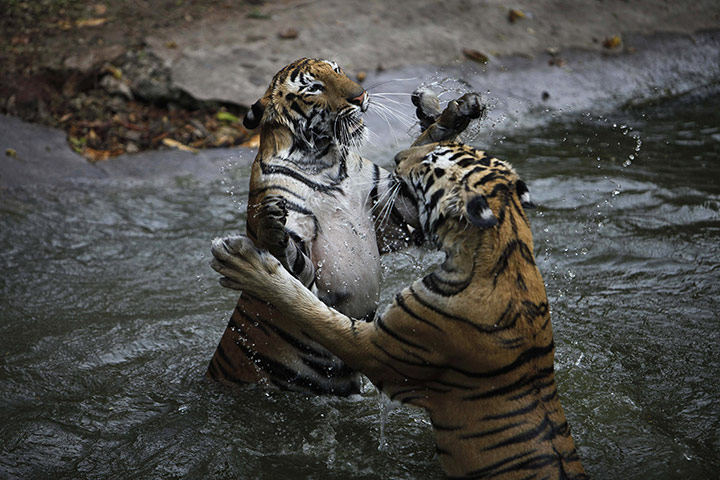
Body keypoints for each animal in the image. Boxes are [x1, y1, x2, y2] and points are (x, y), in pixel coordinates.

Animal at [206, 58, 484, 395]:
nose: (360, 95)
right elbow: (289, 260)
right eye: (314, 88)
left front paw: (453, 112)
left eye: (337, 70)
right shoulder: (310, 272)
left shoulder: (397, 211)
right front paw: (270, 225)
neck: (323, 163)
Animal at [209, 100, 588, 478]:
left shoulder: (377, 348)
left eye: (430, 162)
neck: (508, 241)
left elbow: (311, 309)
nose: (397, 157)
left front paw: (245, 265)